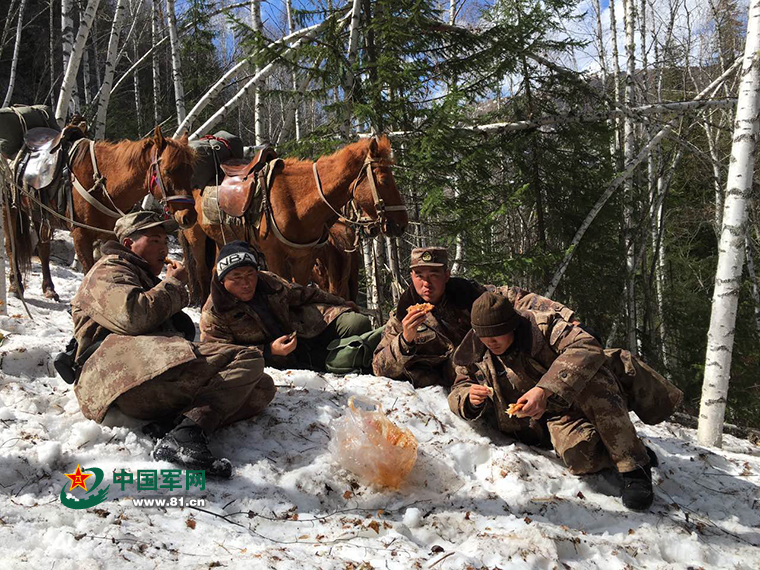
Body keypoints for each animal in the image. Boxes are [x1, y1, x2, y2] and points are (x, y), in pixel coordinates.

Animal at [5, 126, 196, 300]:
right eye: (168, 171)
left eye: (191, 172)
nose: (189, 216)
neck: (105, 184)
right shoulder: (80, 234)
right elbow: (89, 270)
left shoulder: (111, 235)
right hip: (10, 209)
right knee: (11, 246)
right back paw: (15, 286)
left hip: (41, 216)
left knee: (43, 249)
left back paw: (49, 289)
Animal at [183, 135, 406, 302]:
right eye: (384, 180)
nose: (401, 223)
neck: (295, 202)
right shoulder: (274, 255)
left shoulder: (304, 259)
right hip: (197, 238)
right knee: (203, 274)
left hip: (222, 240)